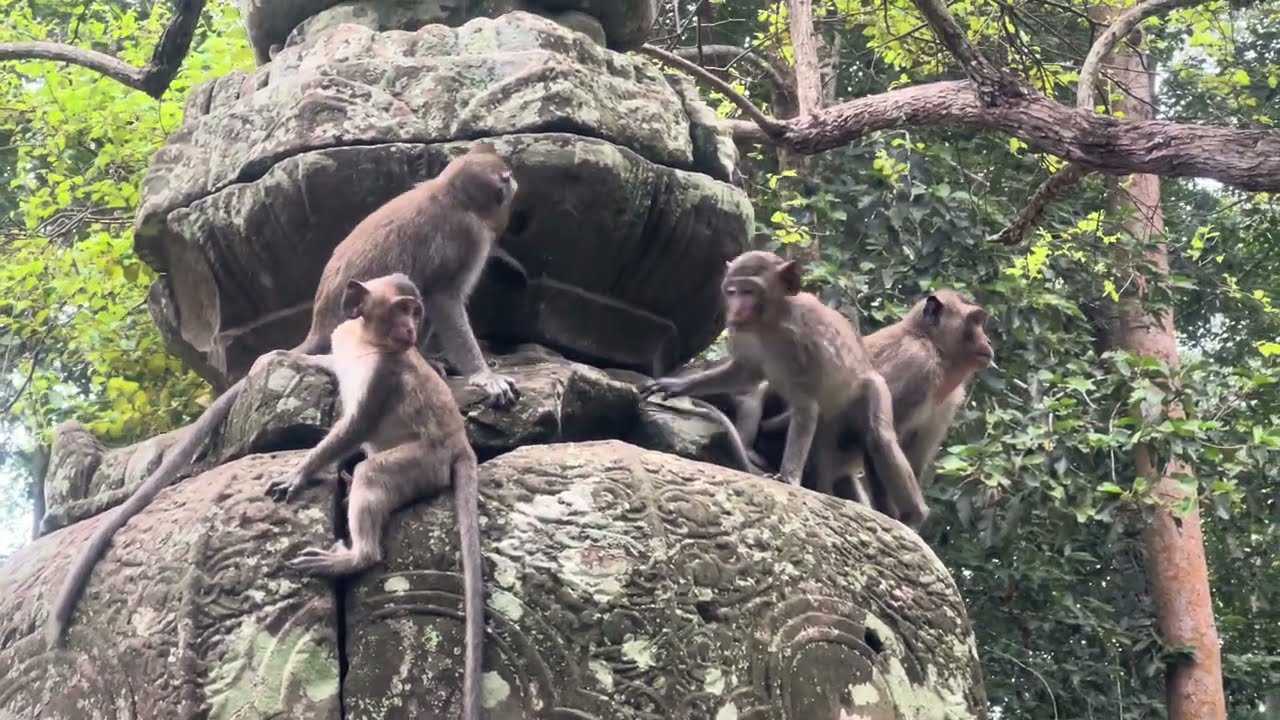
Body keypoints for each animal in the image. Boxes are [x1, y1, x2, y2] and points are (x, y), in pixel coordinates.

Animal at [48, 142, 520, 648]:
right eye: (504, 176)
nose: (513, 182)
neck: (450, 193)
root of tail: (319, 326)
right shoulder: (466, 237)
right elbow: (447, 300)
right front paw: (483, 374)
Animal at [254, 273, 485, 720]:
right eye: (402, 309)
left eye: (414, 310)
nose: (412, 329)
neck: (367, 339)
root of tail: (461, 444)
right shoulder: (344, 336)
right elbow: (333, 362)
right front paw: (296, 358)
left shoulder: (386, 374)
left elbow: (356, 425)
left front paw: (299, 472)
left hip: (422, 463)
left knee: (372, 473)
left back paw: (355, 554)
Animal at [643, 250, 928, 527]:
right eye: (732, 291)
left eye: (749, 291)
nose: (735, 308)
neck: (769, 322)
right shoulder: (740, 333)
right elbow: (745, 372)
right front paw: (679, 385)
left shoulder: (799, 345)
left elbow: (805, 405)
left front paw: (789, 477)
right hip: (831, 421)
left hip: (871, 386)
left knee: (879, 436)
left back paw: (915, 513)